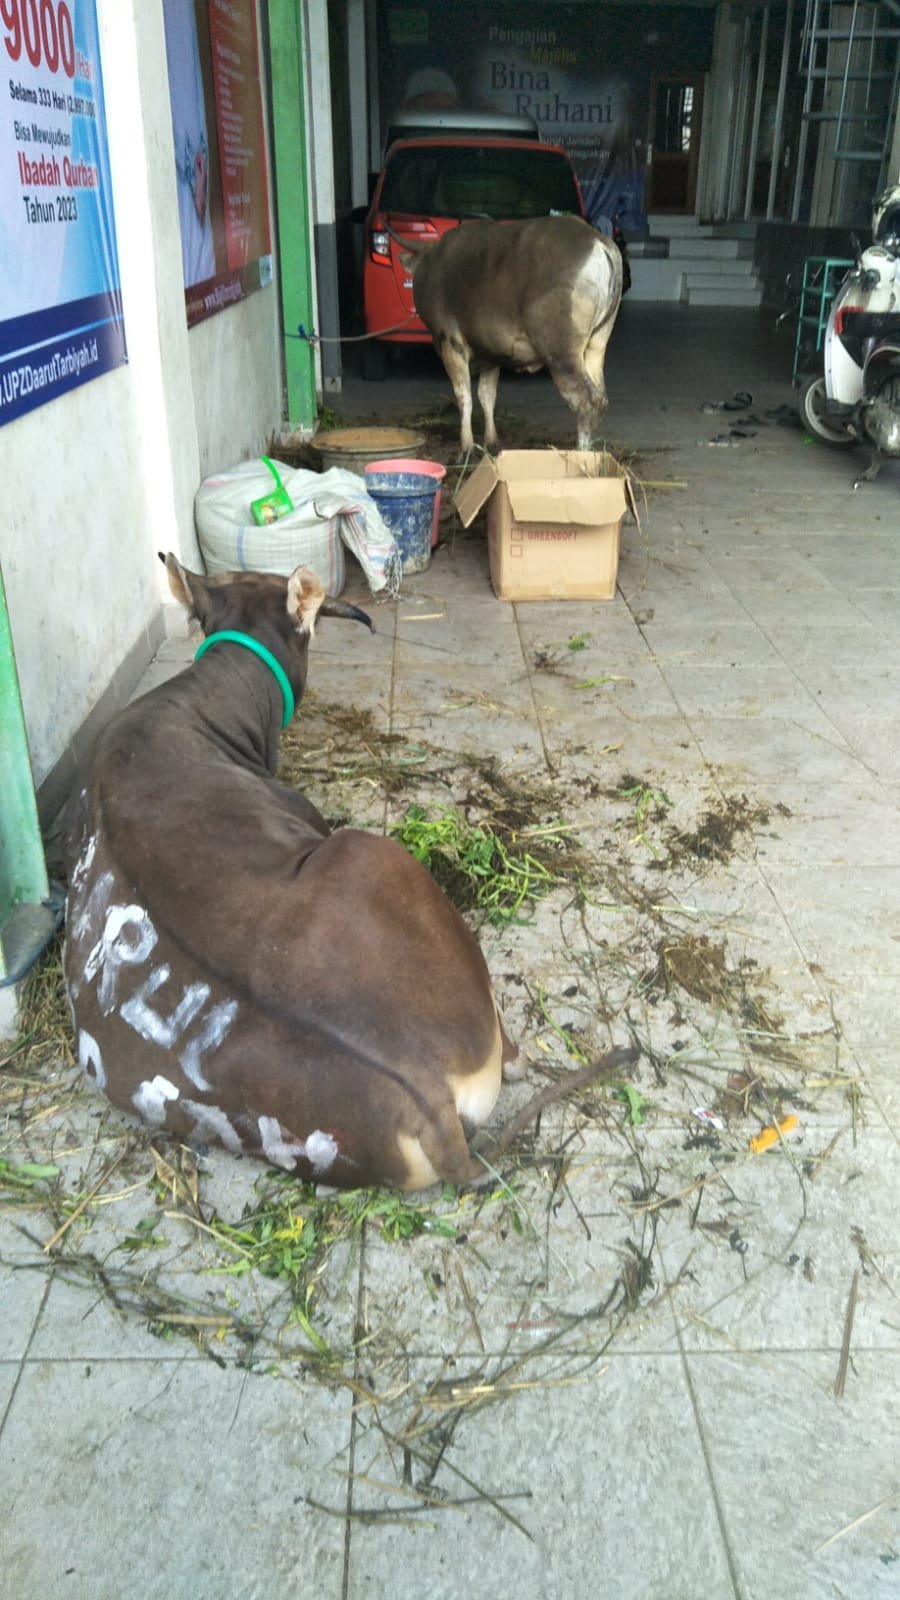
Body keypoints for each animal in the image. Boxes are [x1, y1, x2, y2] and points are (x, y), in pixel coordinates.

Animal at [404, 214, 623, 455]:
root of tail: (598, 242)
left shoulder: (451, 342)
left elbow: (464, 397)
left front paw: (466, 449)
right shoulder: (490, 353)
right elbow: (487, 396)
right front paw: (491, 443)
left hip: (561, 354)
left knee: (585, 400)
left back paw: (580, 452)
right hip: (595, 347)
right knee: (600, 398)